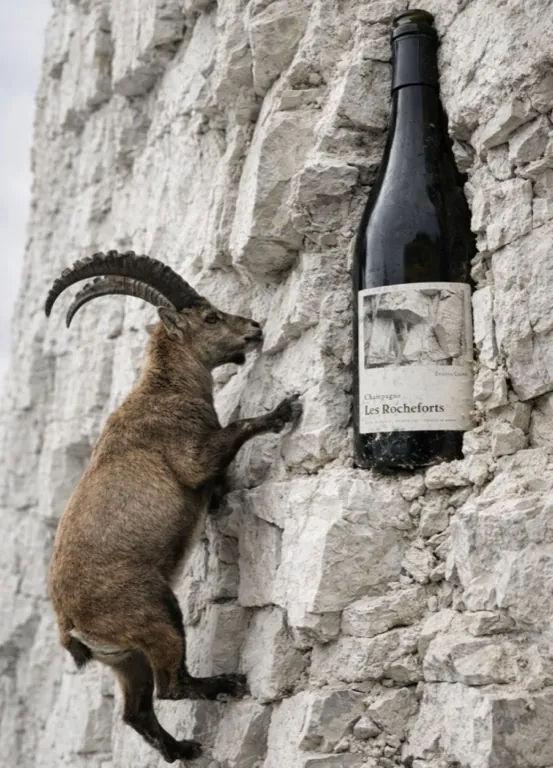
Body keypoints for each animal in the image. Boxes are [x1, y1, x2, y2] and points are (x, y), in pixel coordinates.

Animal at [44, 250, 302, 763]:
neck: (164, 389)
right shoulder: (192, 454)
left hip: (125, 657)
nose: (254, 328)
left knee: (136, 711)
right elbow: (235, 432)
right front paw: (281, 411)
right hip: (158, 616)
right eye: (211, 317)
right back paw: (226, 684)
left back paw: (182, 749)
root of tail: (72, 628)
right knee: (172, 687)